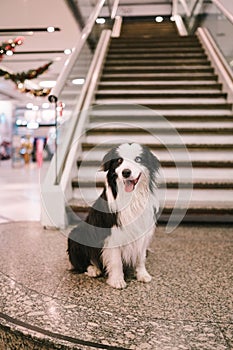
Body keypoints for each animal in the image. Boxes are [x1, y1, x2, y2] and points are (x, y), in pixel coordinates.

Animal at [66, 143, 159, 290]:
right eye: (119, 160)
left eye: (138, 159)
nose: (126, 172)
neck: (130, 198)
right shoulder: (112, 234)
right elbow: (116, 261)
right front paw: (117, 280)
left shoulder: (142, 231)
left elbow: (141, 257)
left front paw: (142, 275)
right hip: (76, 235)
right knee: (80, 263)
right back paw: (93, 269)